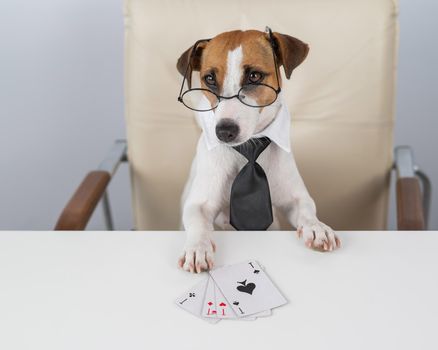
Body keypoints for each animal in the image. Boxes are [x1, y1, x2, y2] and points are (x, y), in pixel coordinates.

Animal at [176, 29, 340, 274]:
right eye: (210, 79)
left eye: (254, 76)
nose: (223, 131)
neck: (248, 149)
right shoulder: (200, 204)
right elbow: (197, 221)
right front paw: (197, 247)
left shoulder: (295, 197)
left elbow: (306, 209)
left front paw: (317, 227)